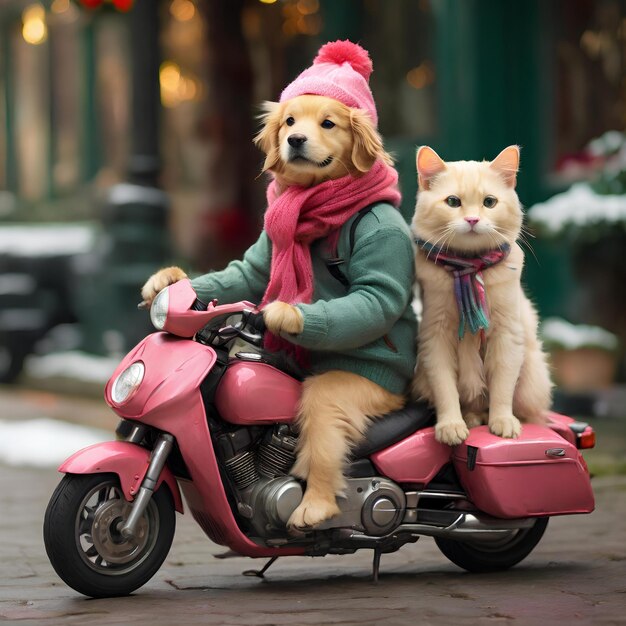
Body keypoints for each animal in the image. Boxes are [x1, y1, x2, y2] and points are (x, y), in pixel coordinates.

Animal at [410, 144, 552, 444]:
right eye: (453, 202)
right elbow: (446, 390)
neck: (470, 267)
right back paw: (472, 418)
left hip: (532, 380)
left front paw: (503, 422)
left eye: (489, 202)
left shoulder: (507, 336)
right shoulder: (435, 337)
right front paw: (451, 425)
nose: (473, 219)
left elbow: (502, 389)